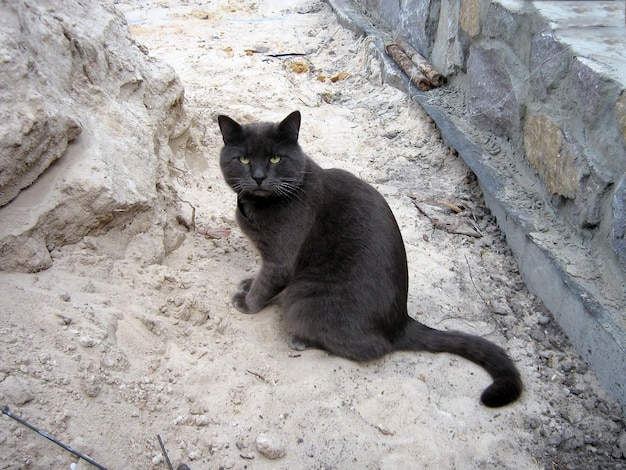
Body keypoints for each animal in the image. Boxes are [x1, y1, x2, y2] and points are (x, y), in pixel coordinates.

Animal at [217, 111, 520, 408]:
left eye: (275, 158)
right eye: (243, 159)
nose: (258, 176)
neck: (260, 204)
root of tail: (401, 324)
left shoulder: (280, 260)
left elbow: (266, 283)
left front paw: (247, 303)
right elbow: (261, 279)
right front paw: (247, 285)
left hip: (306, 298)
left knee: (368, 348)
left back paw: (301, 339)